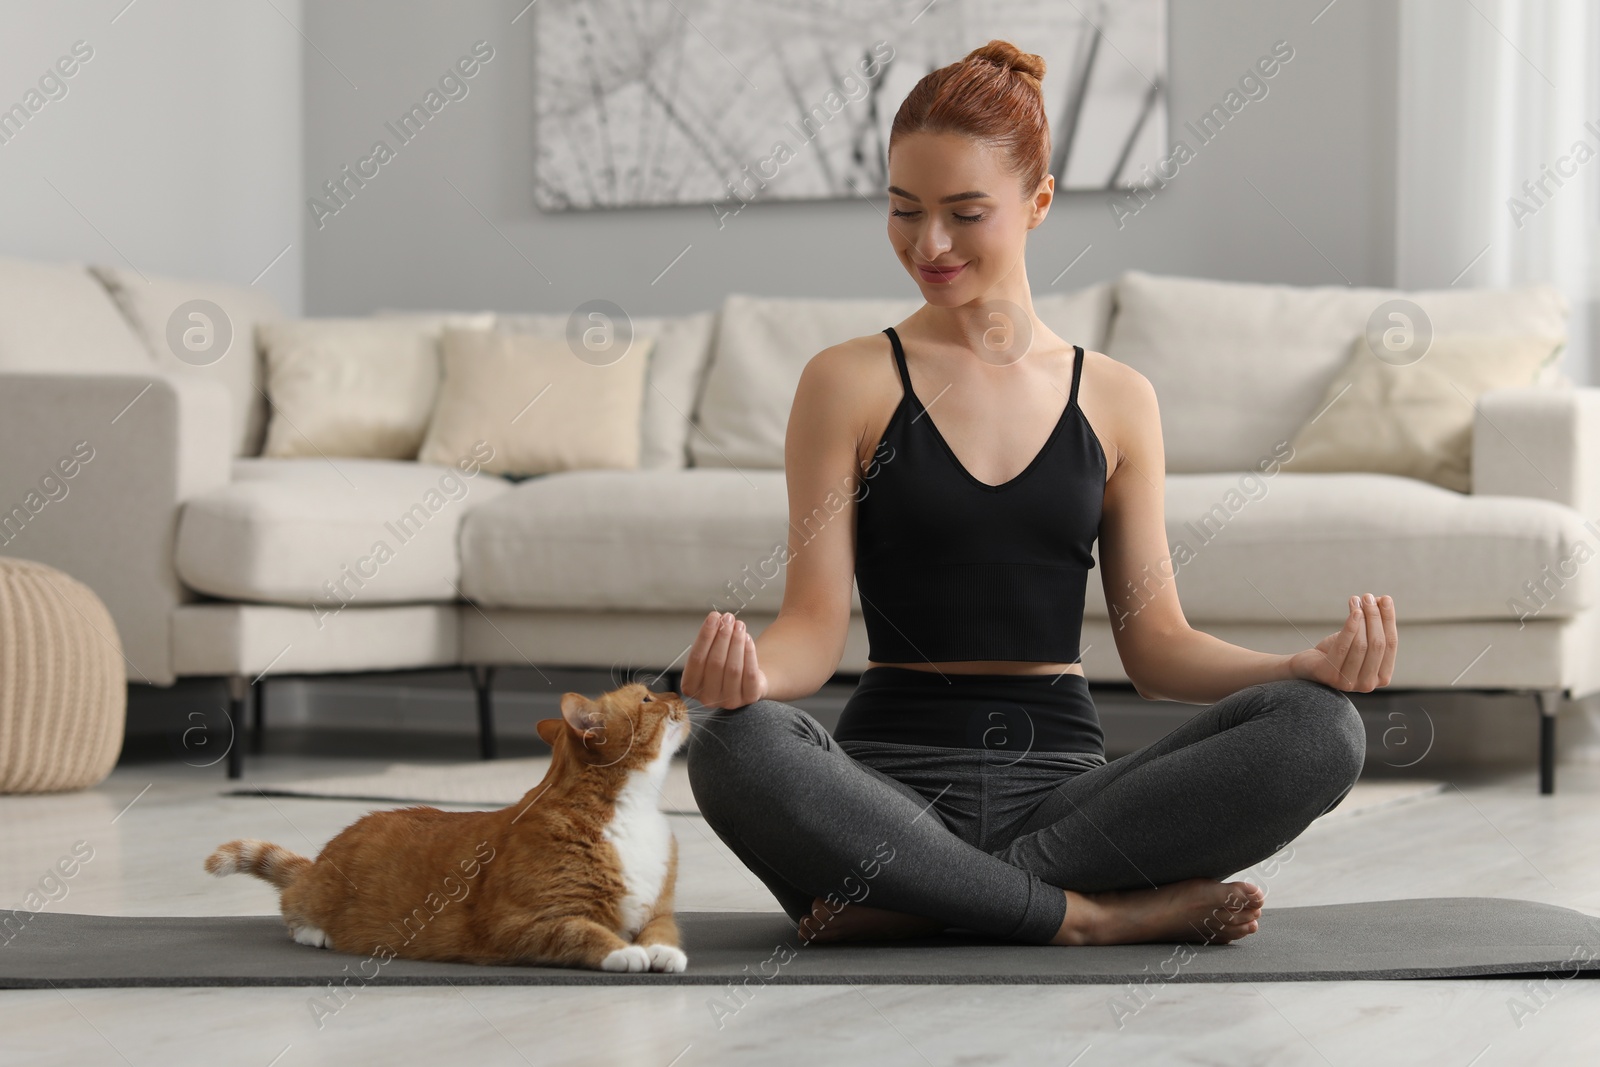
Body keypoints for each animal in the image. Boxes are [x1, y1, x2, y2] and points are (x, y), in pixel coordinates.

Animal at [203, 684, 691, 979]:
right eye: (648, 699)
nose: (679, 693)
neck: (632, 811)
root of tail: (322, 857)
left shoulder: (658, 909)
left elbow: (664, 929)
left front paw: (663, 952)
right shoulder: (514, 924)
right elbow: (579, 930)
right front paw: (623, 950)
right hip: (314, 896)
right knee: (290, 904)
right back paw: (316, 932)